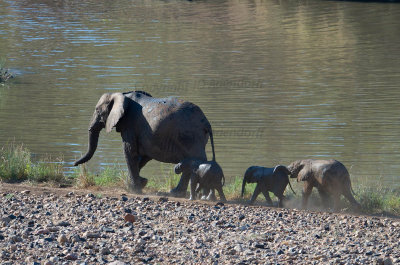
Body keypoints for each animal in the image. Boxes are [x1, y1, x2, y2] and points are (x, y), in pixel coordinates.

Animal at [73, 91, 214, 194]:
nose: (74, 164)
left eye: (97, 111)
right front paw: (140, 183)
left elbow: (130, 152)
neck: (122, 95)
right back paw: (176, 193)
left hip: (190, 137)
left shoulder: (130, 124)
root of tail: (206, 122)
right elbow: (142, 157)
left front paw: (134, 190)